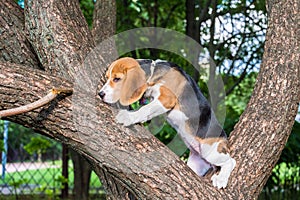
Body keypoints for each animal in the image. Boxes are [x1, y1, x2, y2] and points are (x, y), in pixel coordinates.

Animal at [99, 57, 236, 188]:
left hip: (210, 152)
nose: (100, 94)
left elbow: (145, 109)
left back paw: (221, 179)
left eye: (117, 79)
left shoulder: (166, 99)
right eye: (107, 77)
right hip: (197, 165)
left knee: (231, 161)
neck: (154, 73)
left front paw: (128, 117)